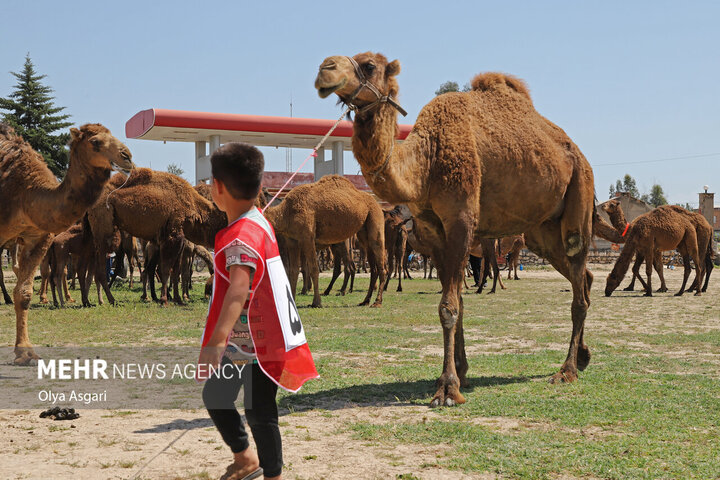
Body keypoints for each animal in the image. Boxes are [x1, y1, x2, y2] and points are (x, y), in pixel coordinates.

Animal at [0, 123, 134, 364]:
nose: (127, 156)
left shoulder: (38, 238)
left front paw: (25, 353)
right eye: (95, 142)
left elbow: (24, 294)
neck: (25, 195)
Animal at [88, 169, 226, 304]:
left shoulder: (179, 241)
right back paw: (111, 299)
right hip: (104, 228)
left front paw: (178, 299)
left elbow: (175, 271)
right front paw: (164, 299)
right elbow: (166, 269)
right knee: (102, 269)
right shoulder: (172, 236)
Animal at [264, 175, 388, 308]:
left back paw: (377, 302)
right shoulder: (292, 241)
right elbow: (293, 270)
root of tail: (378, 204)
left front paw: (316, 302)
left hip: (375, 218)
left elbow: (313, 268)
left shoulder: (307, 237)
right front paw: (292, 302)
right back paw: (365, 301)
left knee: (380, 264)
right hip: (363, 232)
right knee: (373, 268)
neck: (285, 212)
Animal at [316, 51, 600, 404]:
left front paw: (448, 388)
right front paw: (460, 372)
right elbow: (458, 304)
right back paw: (584, 356)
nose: (325, 70)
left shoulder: (461, 220)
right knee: (583, 278)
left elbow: (448, 307)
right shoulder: (434, 232)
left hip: (579, 199)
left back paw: (566, 371)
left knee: (578, 279)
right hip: (541, 231)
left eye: (369, 66)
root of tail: (578, 153)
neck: (427, 159)